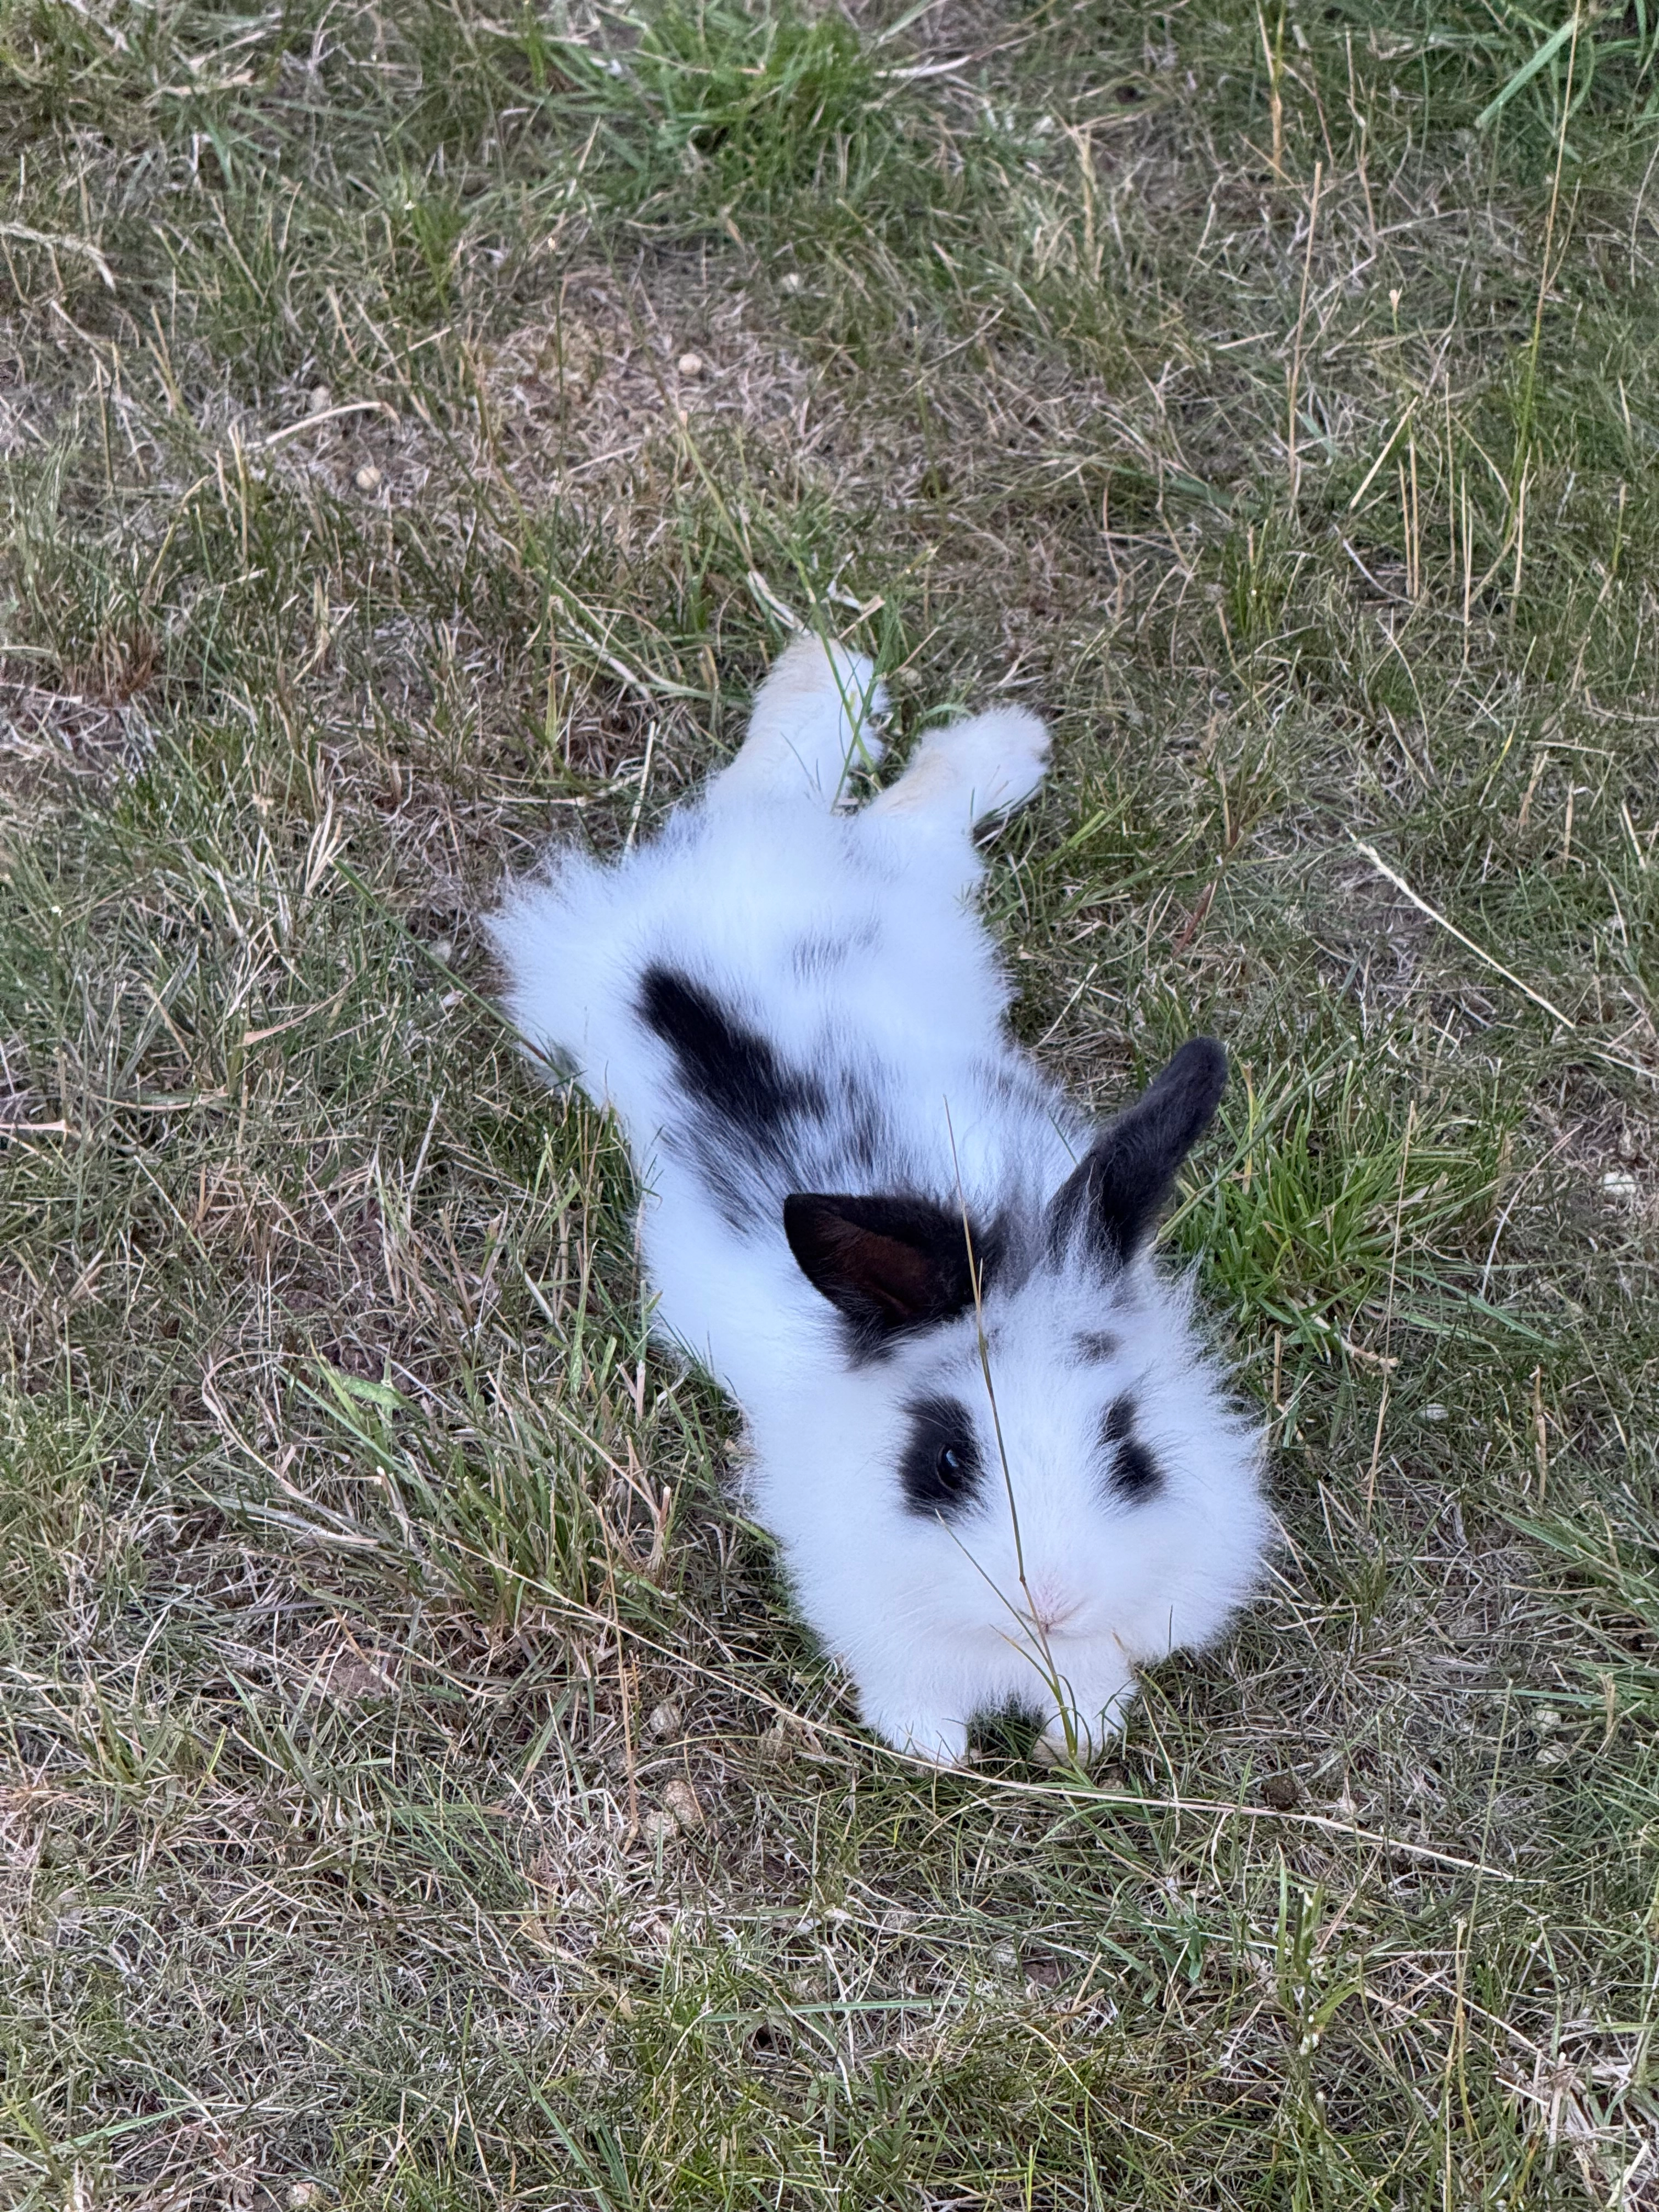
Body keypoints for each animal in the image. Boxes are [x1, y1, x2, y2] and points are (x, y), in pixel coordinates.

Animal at [488, 636, 1268, 1767]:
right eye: (943, 1461)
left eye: (1132, 1450)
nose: (1051, 1601)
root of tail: (739, 859)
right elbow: (912, 1693)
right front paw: (935, 1747)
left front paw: (1076, 1741)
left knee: (899, 808)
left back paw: (967, 729)